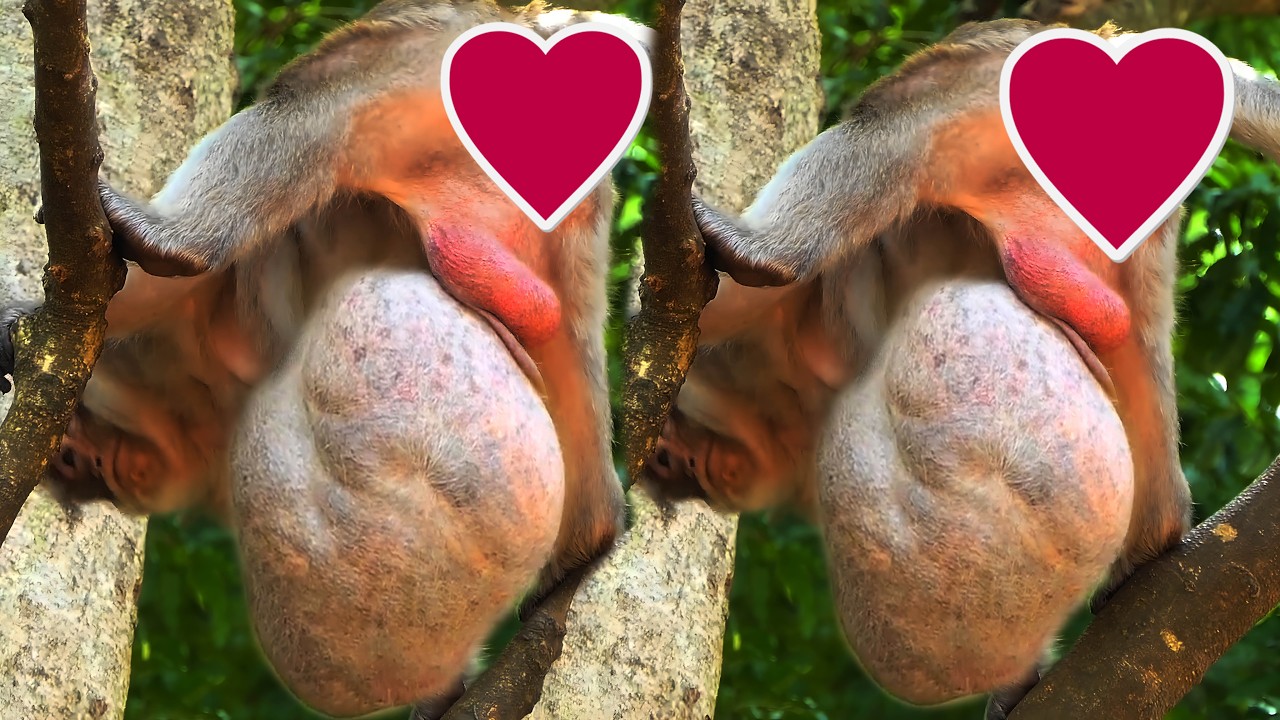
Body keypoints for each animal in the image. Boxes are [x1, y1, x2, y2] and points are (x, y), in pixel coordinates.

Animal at [646, 18, 1280, 719]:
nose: (684, 470)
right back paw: (1157, 529)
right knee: (1134, 342)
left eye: (683, 459)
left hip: (997, 83)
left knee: (893, 125)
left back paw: (764, 251)